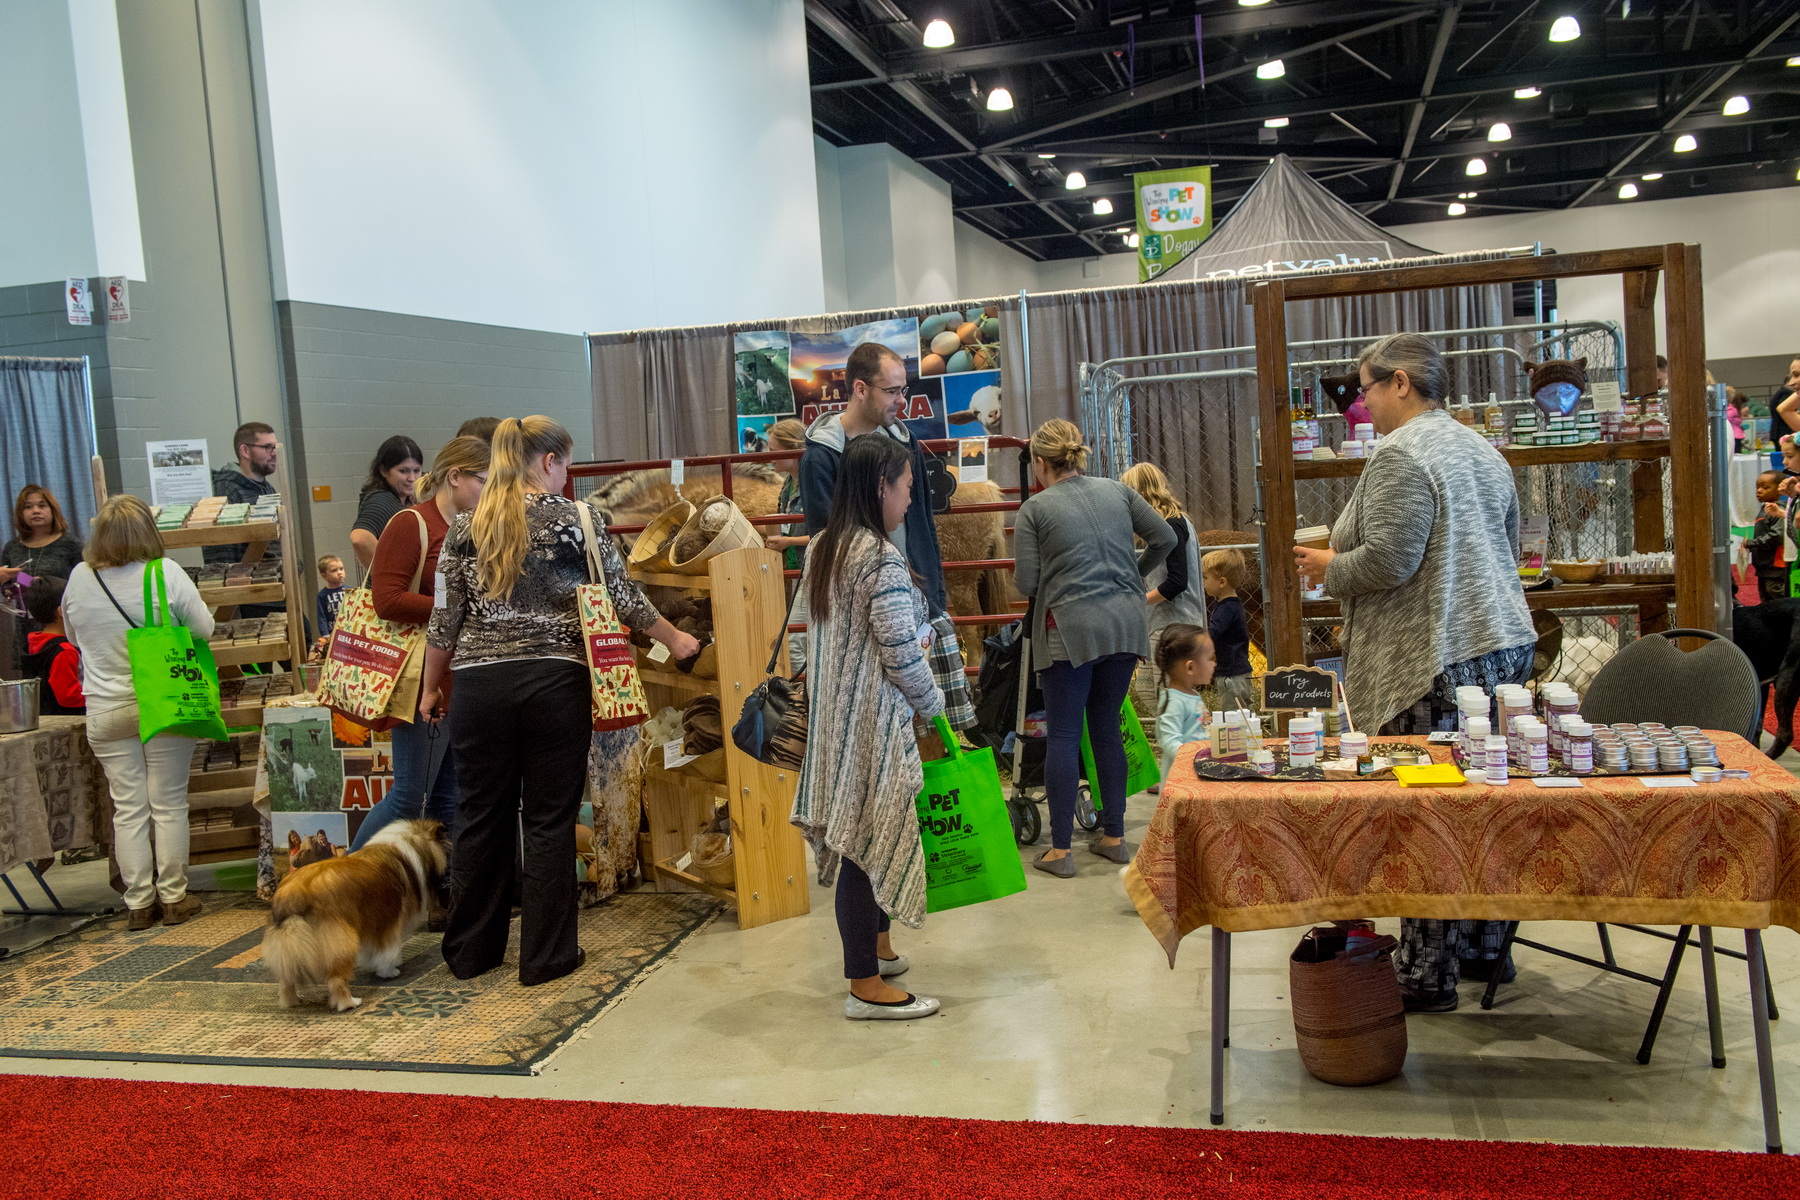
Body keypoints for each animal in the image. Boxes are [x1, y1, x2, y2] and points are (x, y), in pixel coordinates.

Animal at [261, 816, 450, 1014]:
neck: (411, 841)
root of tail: (293, 895)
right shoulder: (389, 919)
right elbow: (388, 949)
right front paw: (389, 971)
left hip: (289, 942)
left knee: (286, 977)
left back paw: (291, 1001)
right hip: (340, 941)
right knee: (336, 979)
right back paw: (349, 1003)